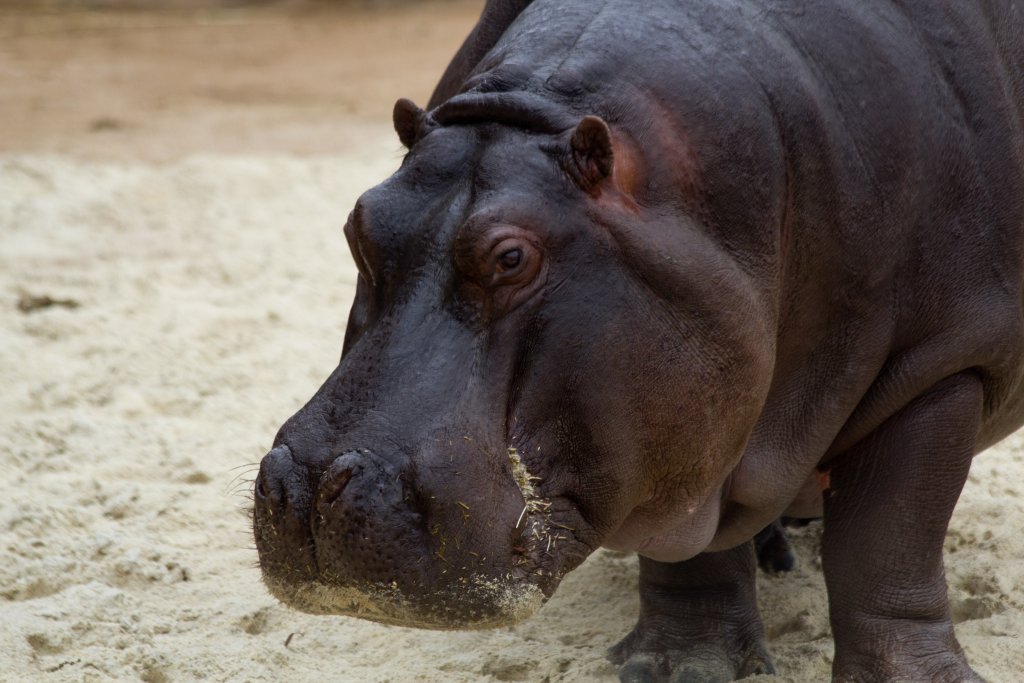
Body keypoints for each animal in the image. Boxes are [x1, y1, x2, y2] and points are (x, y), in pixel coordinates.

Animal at [253, 1, 1024, 680]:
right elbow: (689, 549)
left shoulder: (945, 360)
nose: (313, 482)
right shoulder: (677, 431)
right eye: (359, 223)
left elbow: (887, 543)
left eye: (512, 257)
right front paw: (681, 669)